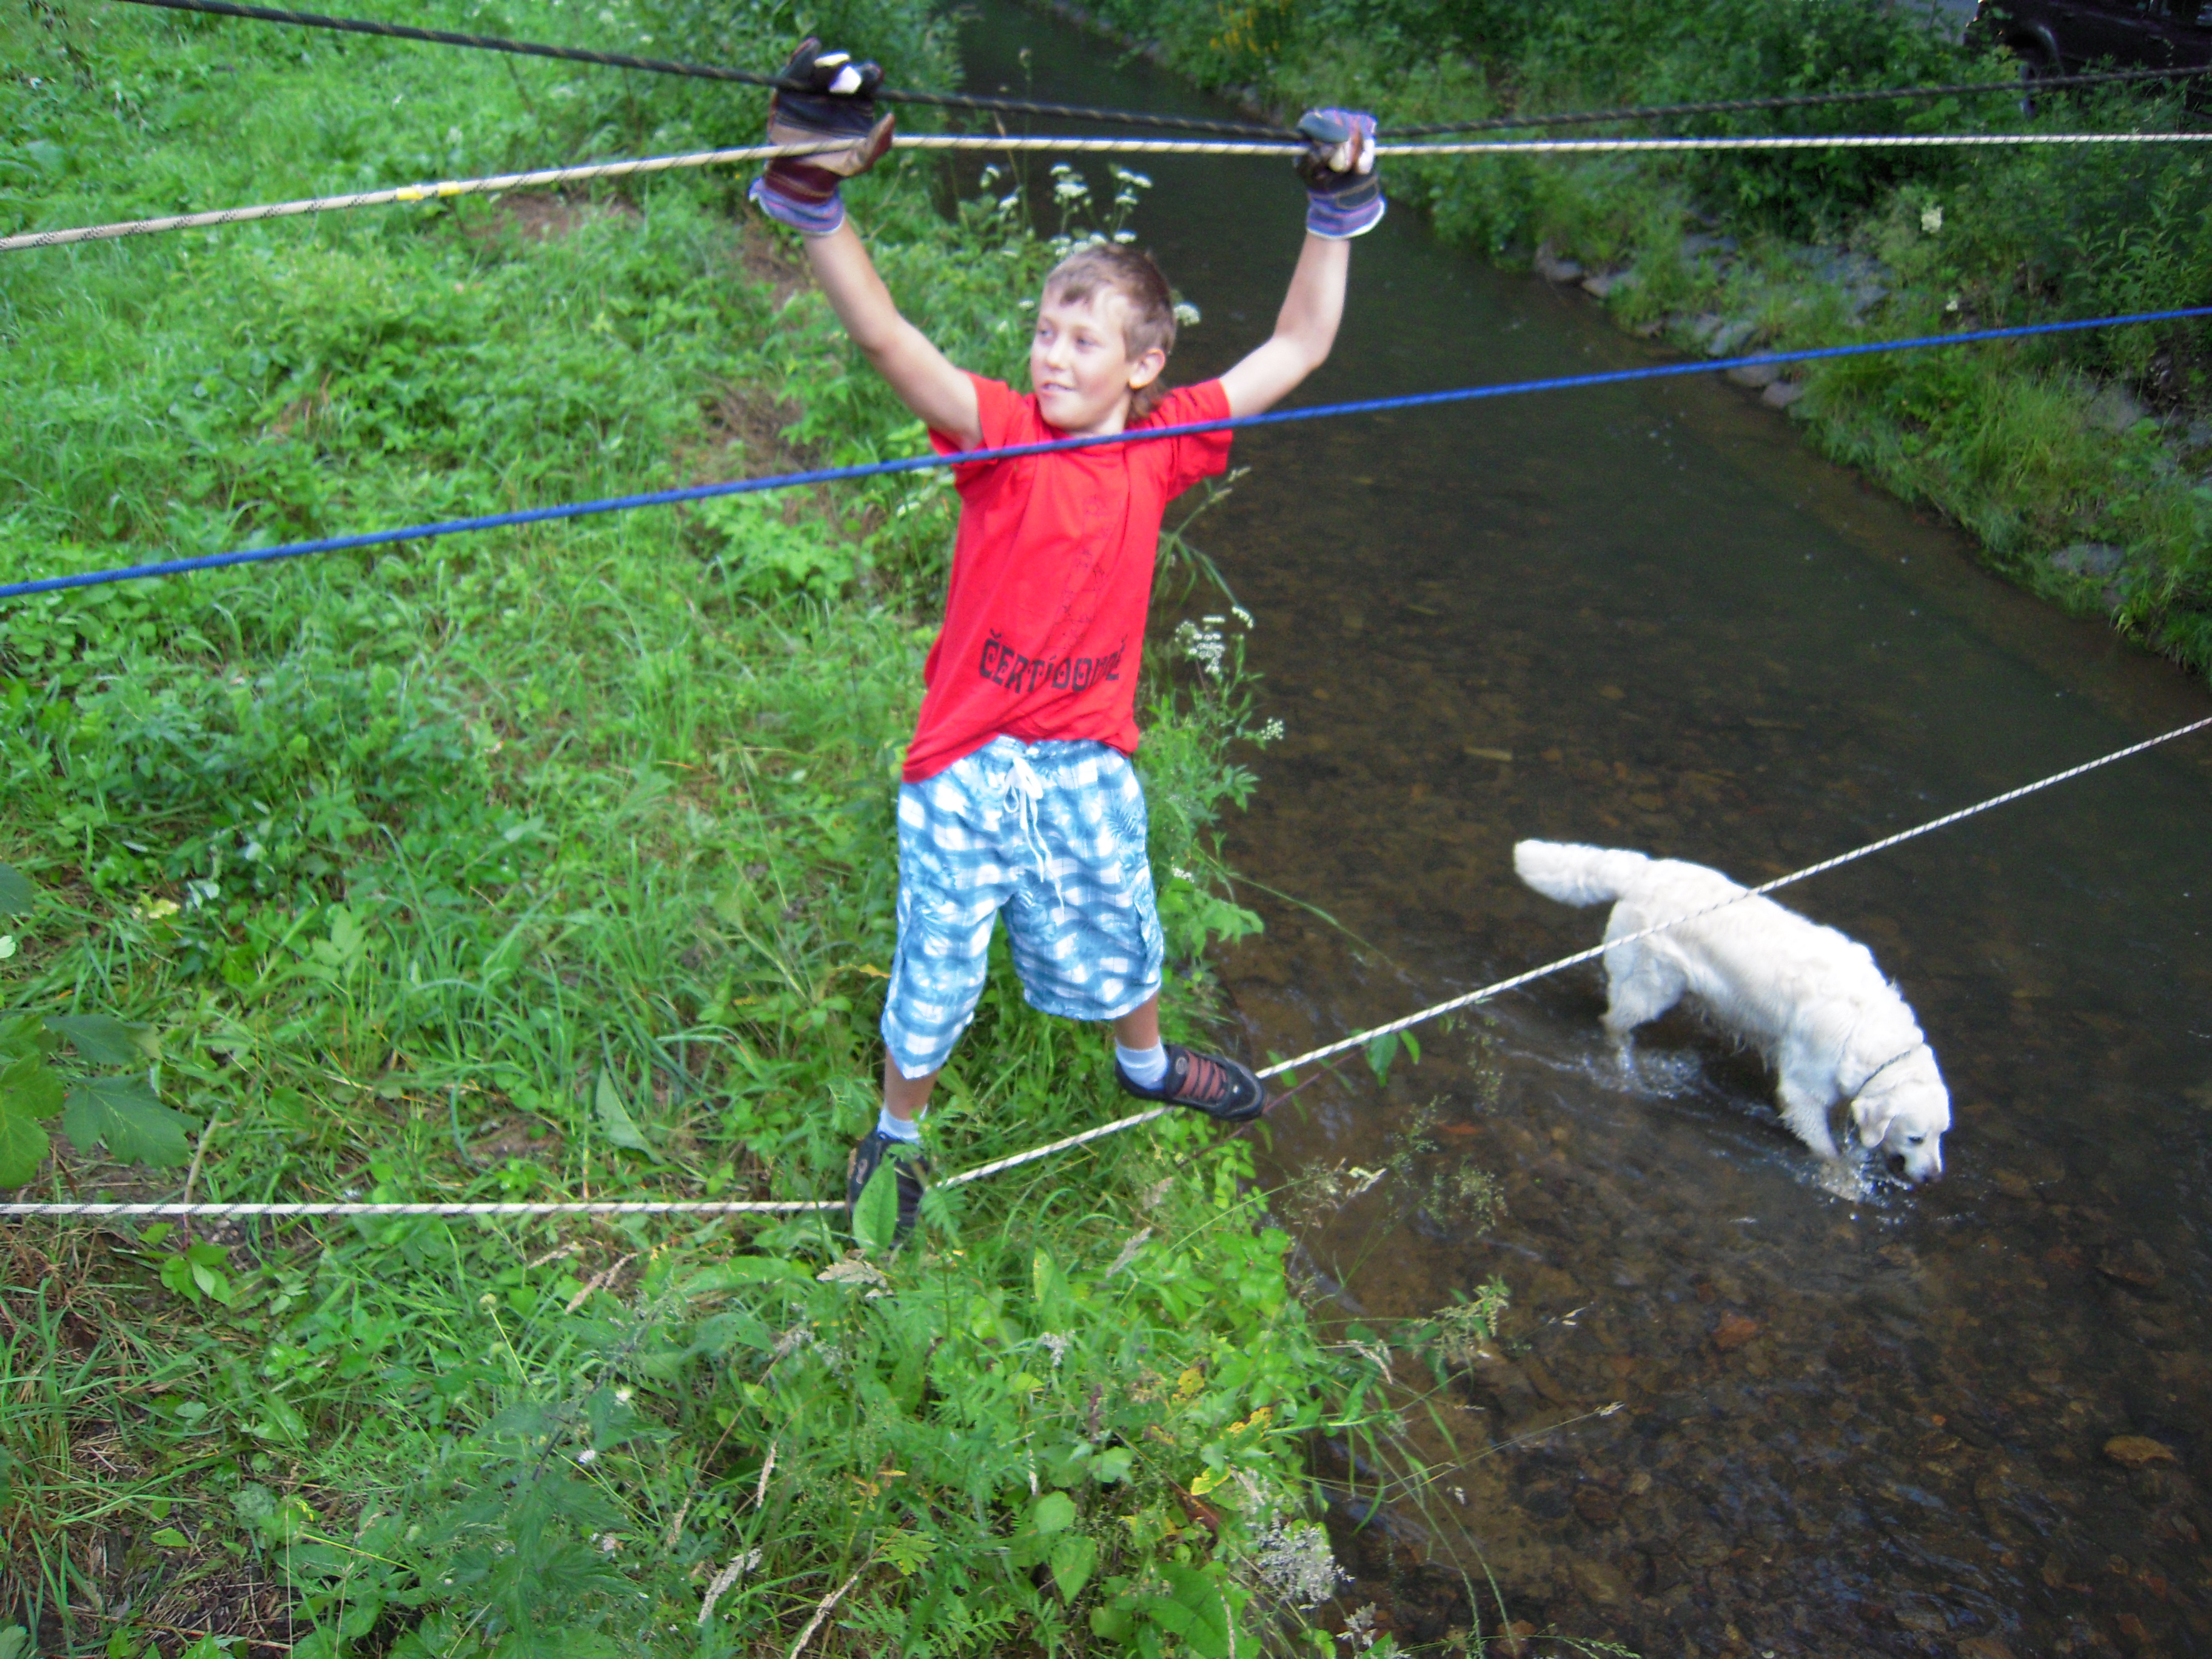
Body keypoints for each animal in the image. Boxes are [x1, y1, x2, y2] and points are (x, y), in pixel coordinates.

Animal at [1514, 840, 1949, 1183]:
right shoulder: (1802, 1089)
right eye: (1916, 1137)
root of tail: (1644, 871)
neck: (1868, 1028)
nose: (1932, 1178)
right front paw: (1841, 1178)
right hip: (1652, 986)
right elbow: (1825, 1145)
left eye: (1942, 1135)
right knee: (1613, 1022)